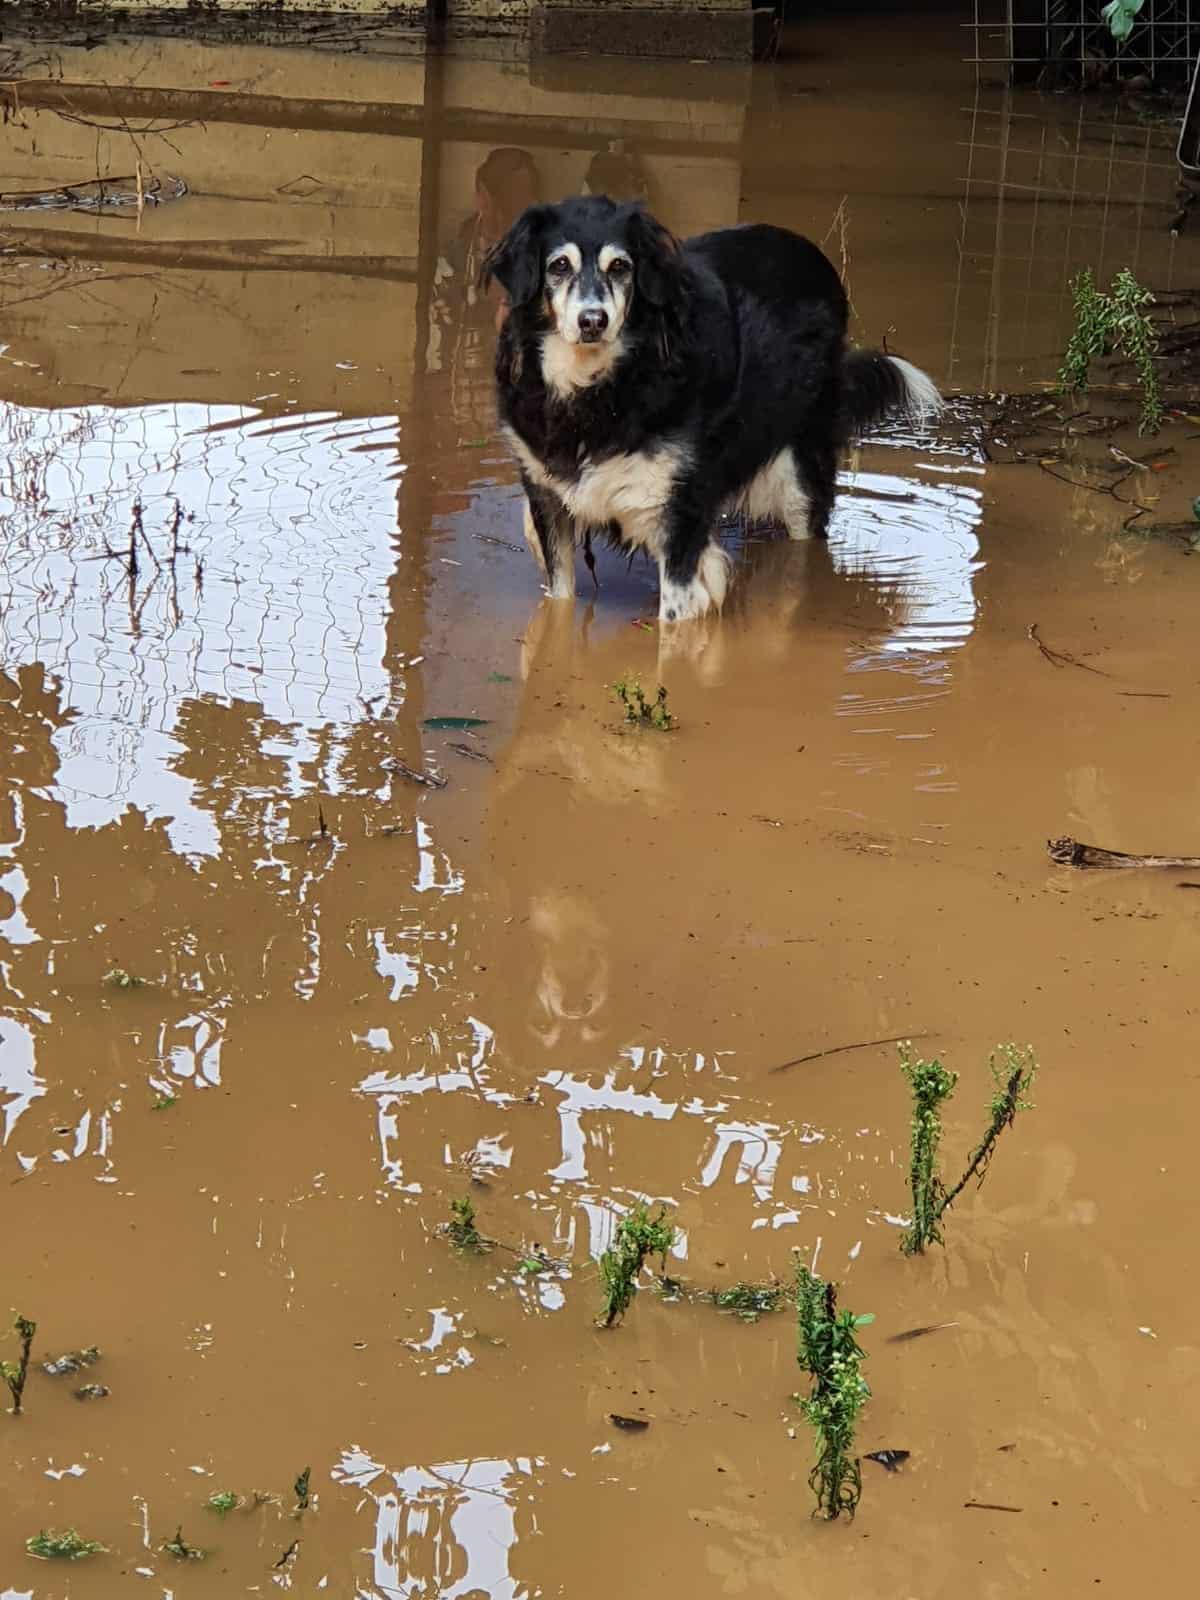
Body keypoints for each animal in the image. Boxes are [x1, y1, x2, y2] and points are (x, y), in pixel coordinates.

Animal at [483, 195, 947, 624]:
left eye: (620, 267)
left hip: (799, 470)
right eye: (559, 265)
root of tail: (811, 253)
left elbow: (676, 613)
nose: (593, 321)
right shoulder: (547, 497)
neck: (598, 387)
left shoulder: (680, 513)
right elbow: (557, 593)